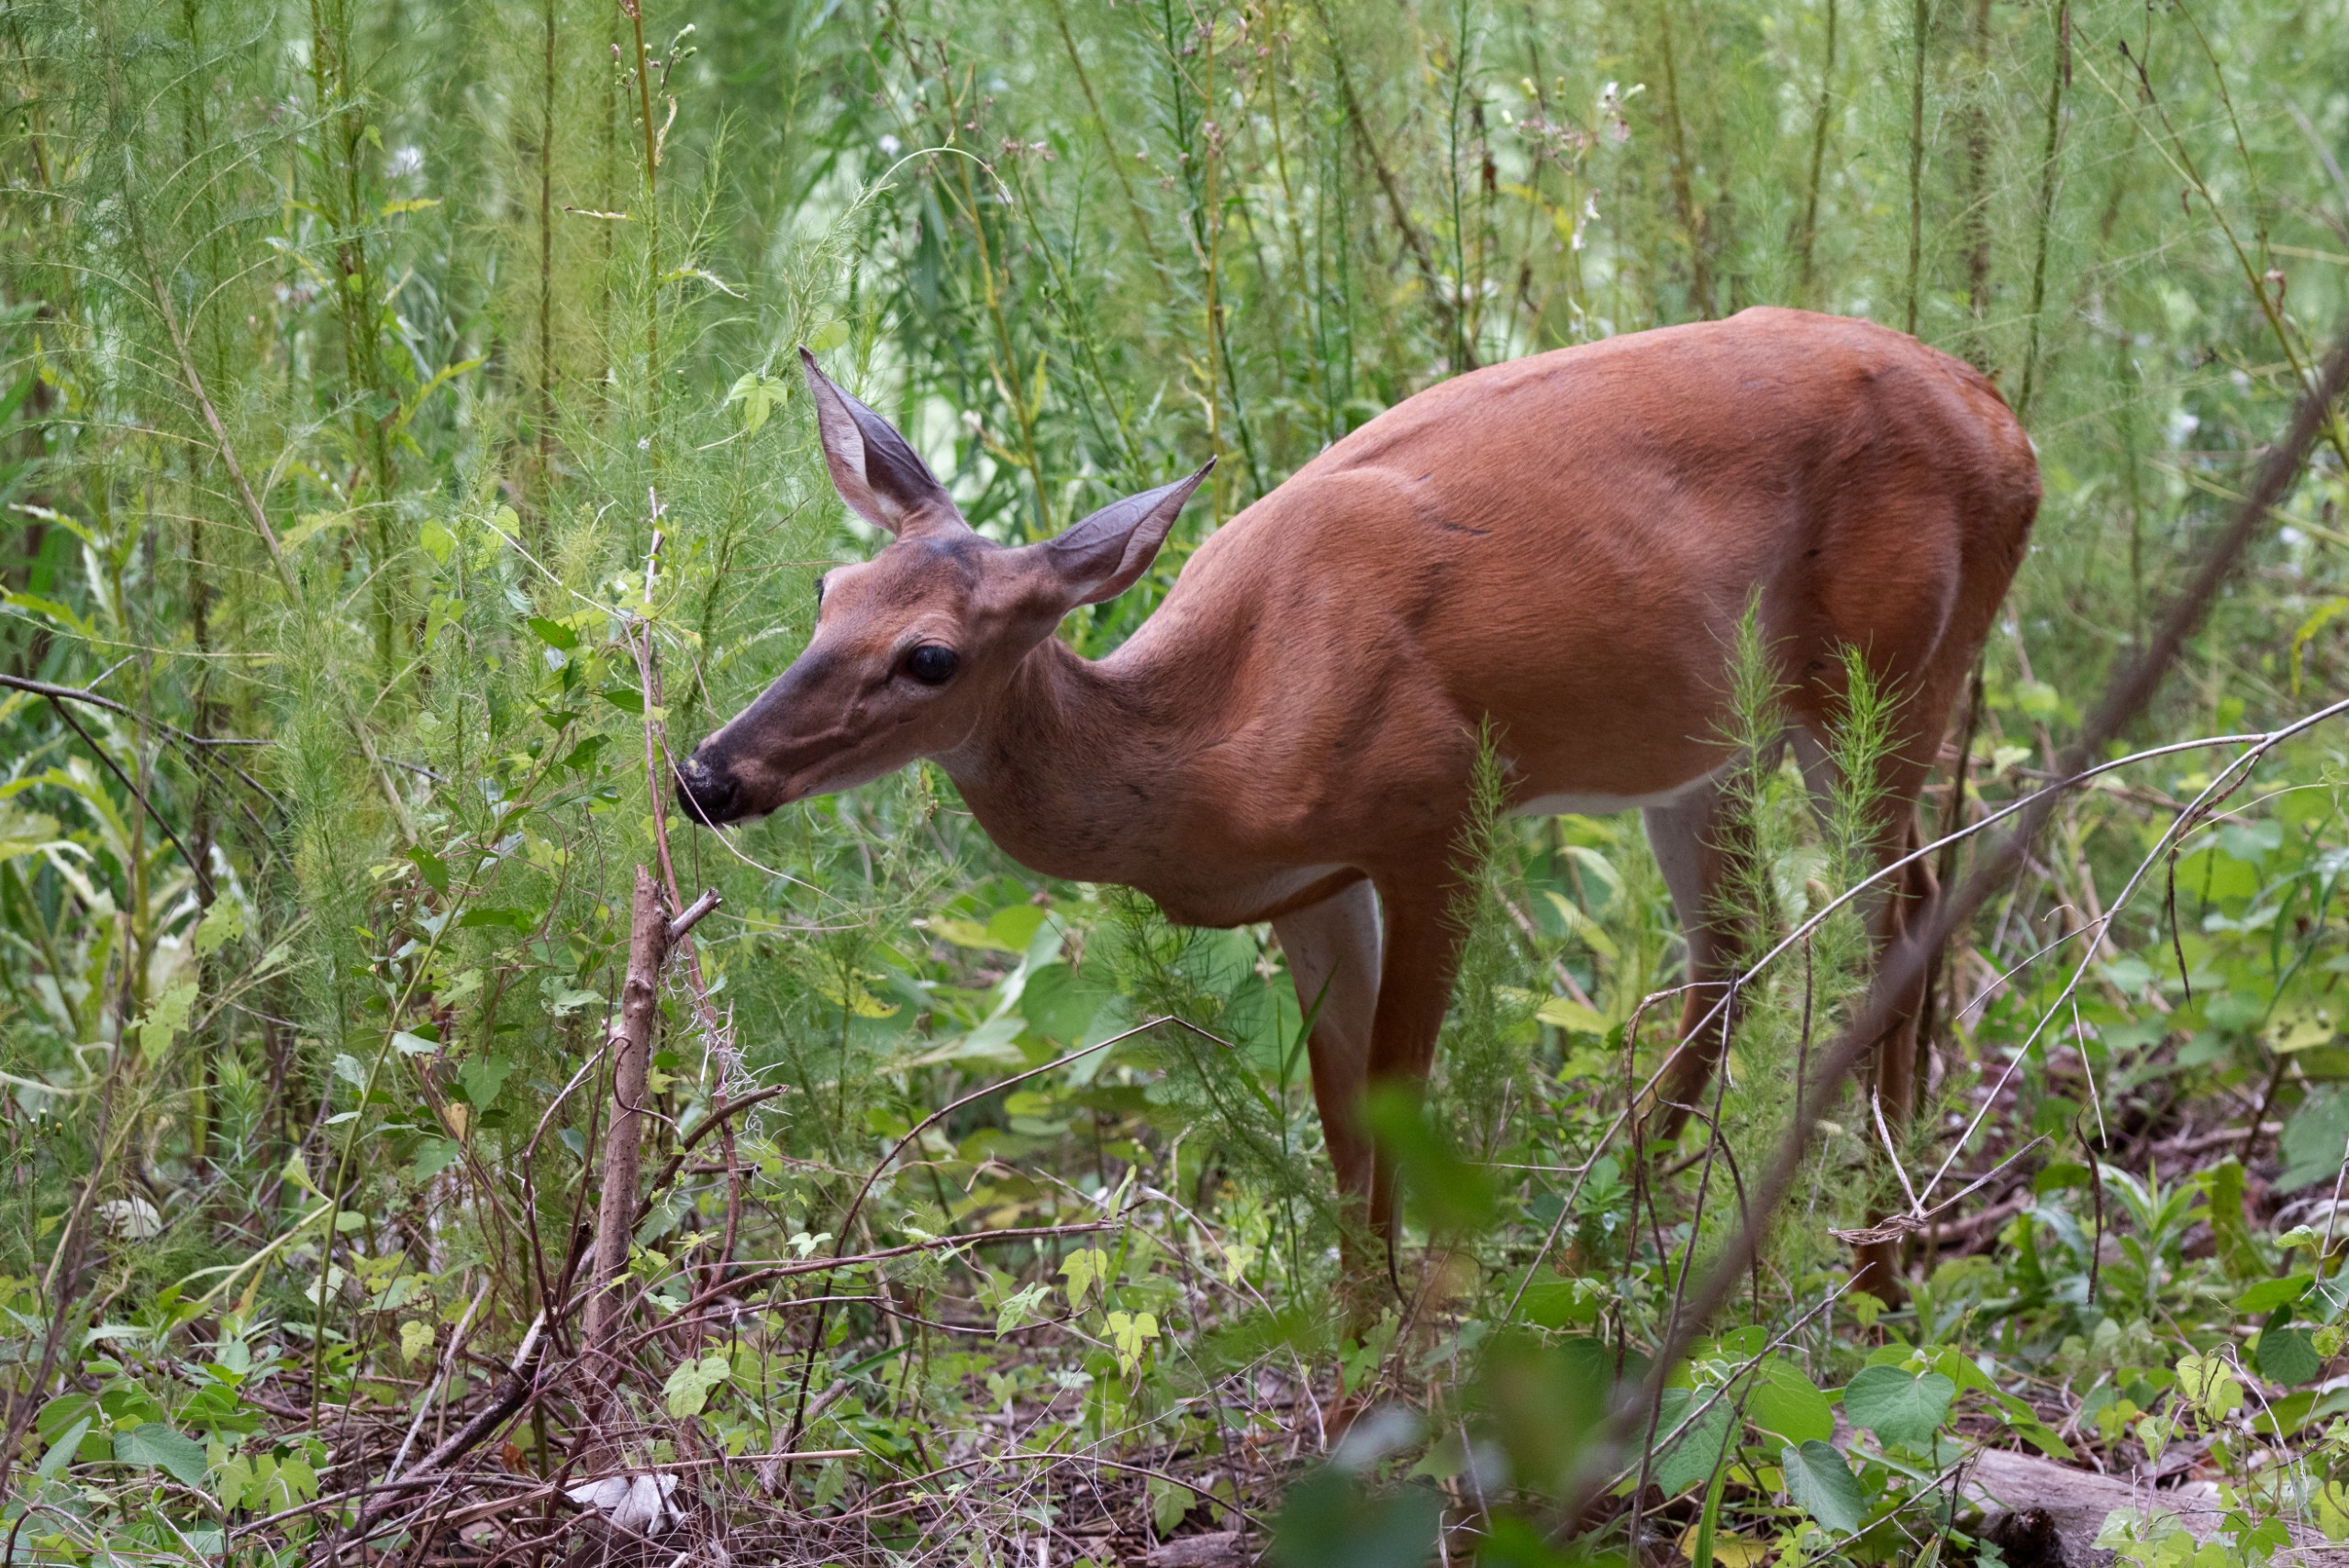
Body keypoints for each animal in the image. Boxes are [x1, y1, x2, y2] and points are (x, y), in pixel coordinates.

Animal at [678, 307, 2039, 1296]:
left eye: (930, 657)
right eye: (828, 587)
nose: (706, 773)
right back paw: (1629, 1225)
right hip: (1709, 746)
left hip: (1889, 673)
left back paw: (1874, 1258)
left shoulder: (1437, 819)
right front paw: (1352, 1344)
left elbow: (1398, 1090)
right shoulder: (1313, 890)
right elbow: (1340, 1120)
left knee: (1889, 905)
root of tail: (2012, 434)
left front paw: (1393, 1366)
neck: (1212, 749)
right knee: (1767, 930)